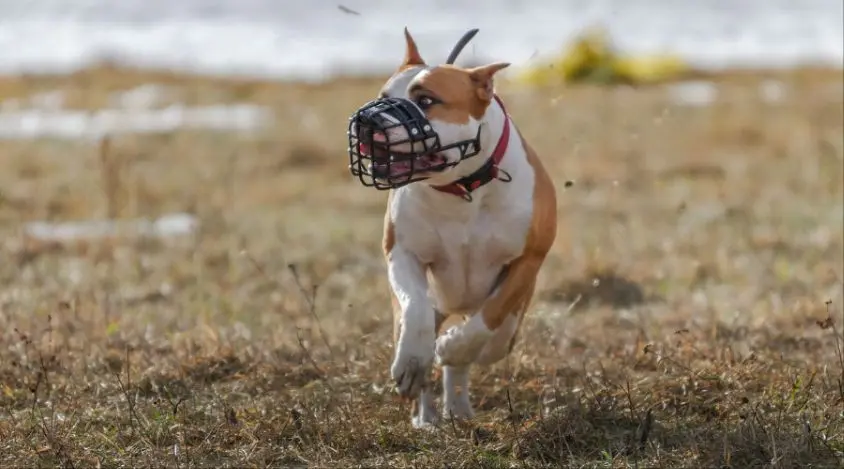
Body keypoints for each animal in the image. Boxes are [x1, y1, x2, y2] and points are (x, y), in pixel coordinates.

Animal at [346, 27, 556, 426]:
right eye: (382, 97)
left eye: (427, 100)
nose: (369, 122)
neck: (462, 190)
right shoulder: (403, 254)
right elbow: (415, 308)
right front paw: (414, 359)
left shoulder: (528, 260)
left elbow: (491, 316)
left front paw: (455, 347)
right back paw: (426, 415)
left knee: (489, 342)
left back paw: (458, 404)